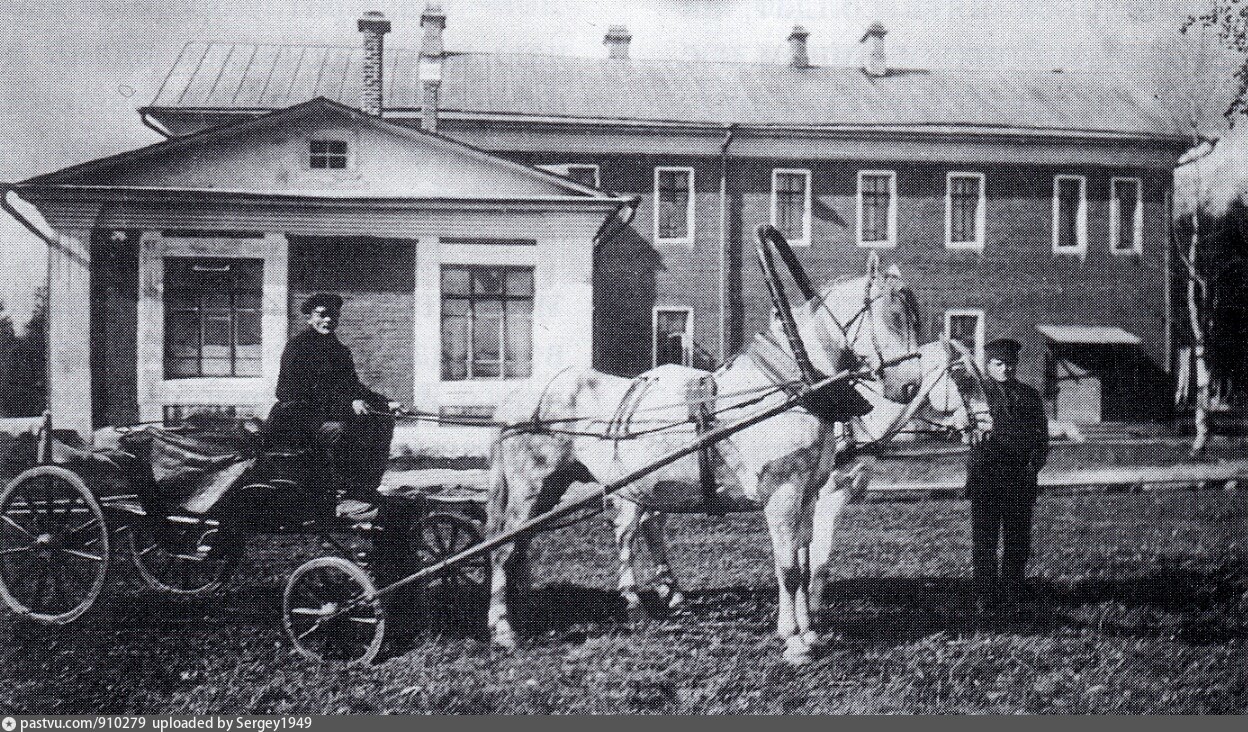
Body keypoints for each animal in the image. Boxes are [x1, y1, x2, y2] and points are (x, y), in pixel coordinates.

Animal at [486, 251, 928, 663]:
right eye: (894, 314)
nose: (910, 387)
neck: (790, 390)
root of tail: (518, 397)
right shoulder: (782, 494)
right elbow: (788, 569)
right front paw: (794, 642)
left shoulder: (808, 495)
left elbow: (803, 565)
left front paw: (809, 632)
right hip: (529, 487)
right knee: (504, 549)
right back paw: (504, 628)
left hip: (561, 487)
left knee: (531, 546)